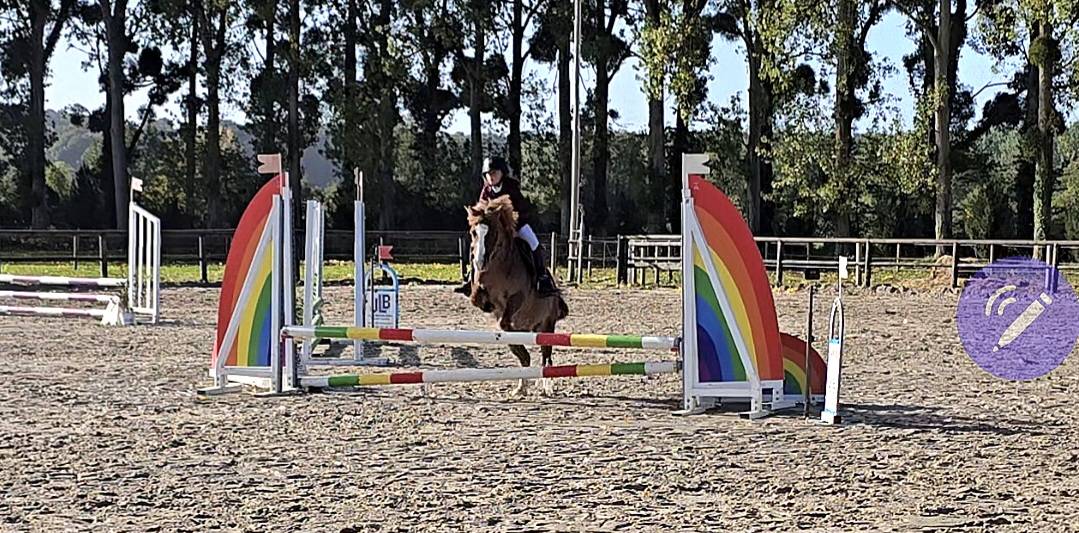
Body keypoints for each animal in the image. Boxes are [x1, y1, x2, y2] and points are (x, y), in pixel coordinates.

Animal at [464, 196, 569, 395]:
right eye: (473, 232)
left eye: (492, 233)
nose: (480, 262)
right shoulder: (481, 295)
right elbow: (482, 302)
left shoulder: (518, 297)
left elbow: (504, 321)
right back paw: (521, 386)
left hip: (547, 324)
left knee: (546, 355)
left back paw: (546, 386)